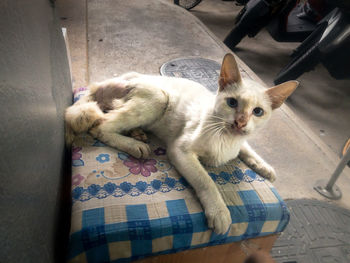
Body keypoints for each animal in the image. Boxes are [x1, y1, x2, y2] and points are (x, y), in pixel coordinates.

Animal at [65, 53, 298, 235]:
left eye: (258, 112)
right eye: (232, 103)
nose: (240, 122)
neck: (227, 138)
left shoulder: (241, 141)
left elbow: (248, 149)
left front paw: (265, 167)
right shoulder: (180, 150)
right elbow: (206, 181)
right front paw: (220, 212)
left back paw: (137, 133)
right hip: (159, 98)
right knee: (100, 126)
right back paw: (134, 145)